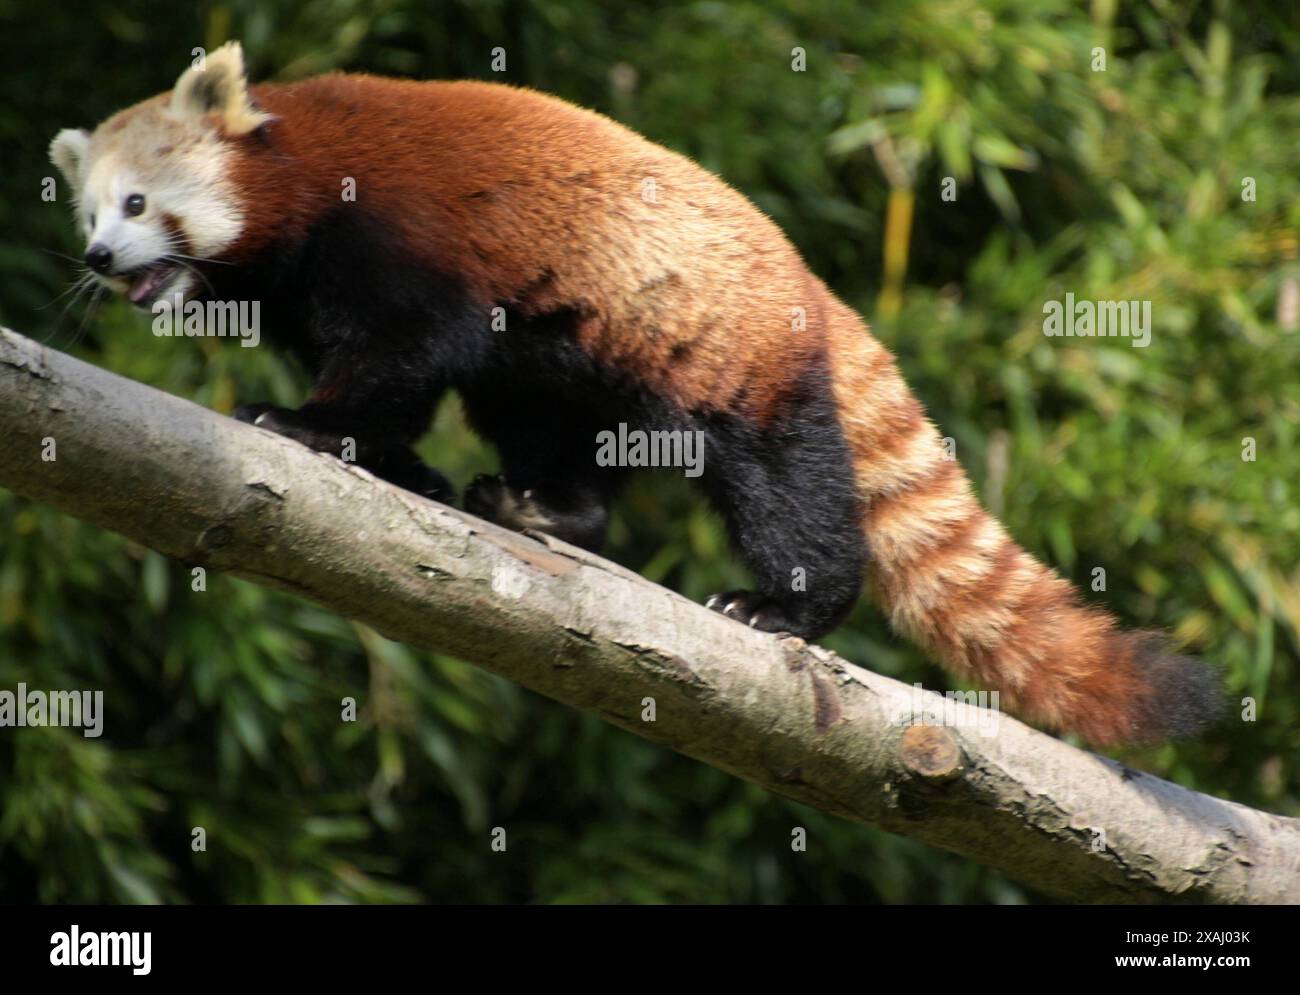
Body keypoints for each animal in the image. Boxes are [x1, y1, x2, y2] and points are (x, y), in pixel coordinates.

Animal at [48, 42, 1216, 743]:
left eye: (139, 203)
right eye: (89, 213)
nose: (100, 260)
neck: (290, 188)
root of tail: (809, 277)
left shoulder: (392, 232)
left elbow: (406, 354)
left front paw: (304, 422)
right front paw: (396, 460)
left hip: (731, 350)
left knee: (781, 478)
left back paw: (785, 602)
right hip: (578, 351)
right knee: (542, 419)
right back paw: (545, 506)